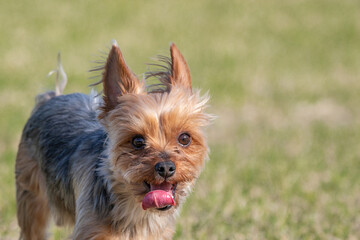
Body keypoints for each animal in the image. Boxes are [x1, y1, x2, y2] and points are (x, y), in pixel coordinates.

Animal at [14, 42, 211, 239]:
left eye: (184, 138)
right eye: (137, 141)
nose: (166, 167)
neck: (136, 211)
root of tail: (53, 96)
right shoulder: (91, 230)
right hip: (31, 192)